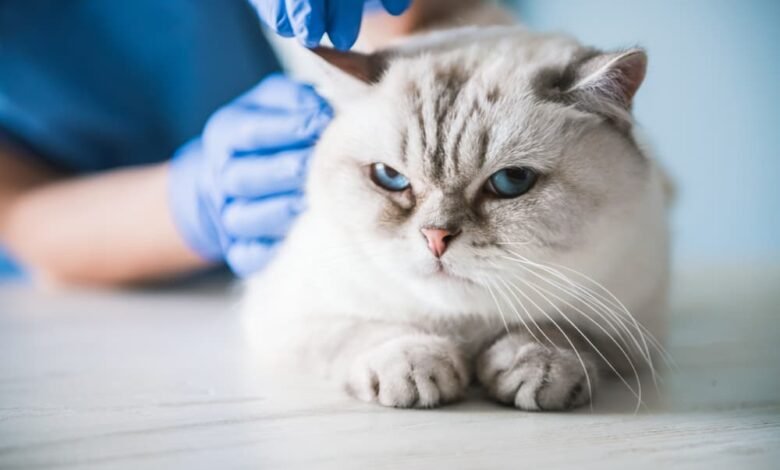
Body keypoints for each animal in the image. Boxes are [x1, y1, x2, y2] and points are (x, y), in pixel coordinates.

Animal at [242, 23, 672, 412]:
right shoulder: (292, 318)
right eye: (390, 177)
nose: (435, 237)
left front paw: (539, 365)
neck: (465, 328)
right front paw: (415, 367)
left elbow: (564, 332)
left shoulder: (631, 325)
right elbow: (371, 331)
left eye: (512, 180)